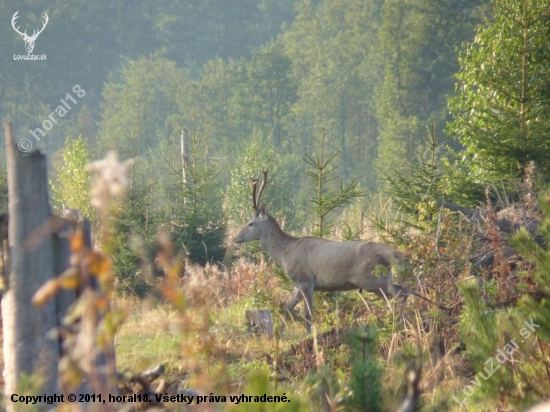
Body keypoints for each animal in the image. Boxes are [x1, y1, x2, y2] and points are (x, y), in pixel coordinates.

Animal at [234, 169, 448, 334]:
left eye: (250, 223)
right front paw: (279, 333)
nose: (235, 238)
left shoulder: (306, 279)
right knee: (402, 293)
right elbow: (288, 308)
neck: (285, 254)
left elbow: (308, 313)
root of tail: (397, 254)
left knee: (399, 295)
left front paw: (309, 336)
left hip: (370, 278)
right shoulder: (298, 283)